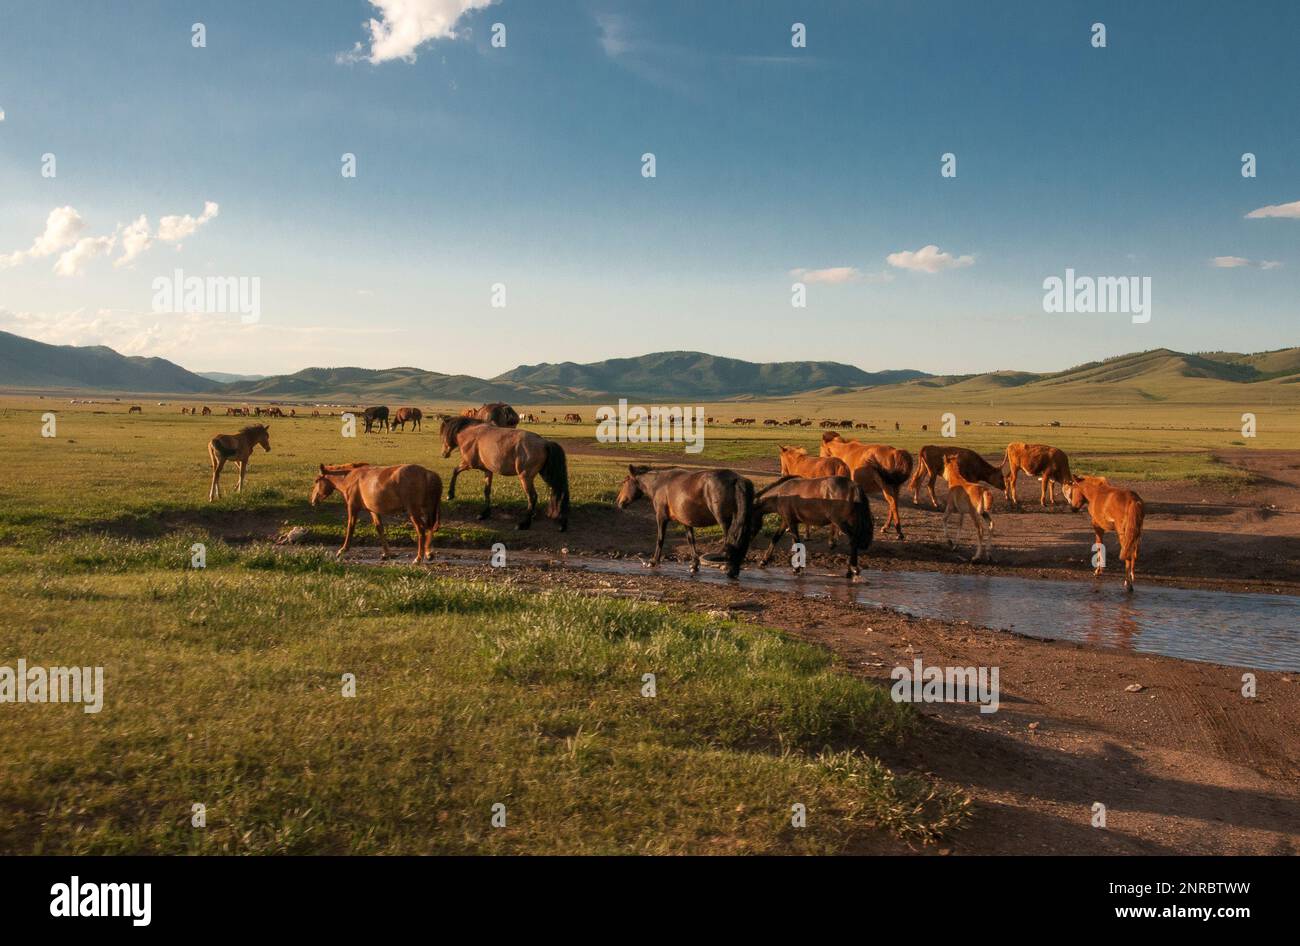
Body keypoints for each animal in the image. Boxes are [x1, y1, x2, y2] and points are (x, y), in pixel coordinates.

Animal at [312, 462, 444, 561]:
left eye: (317, 480)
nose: (313, 500)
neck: (351, 478)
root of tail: (427, 473)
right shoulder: (373, 511)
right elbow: (379, 528)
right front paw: (387, 554)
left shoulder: (353, 507)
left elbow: (350, 527)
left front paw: (343, 550)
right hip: (427, 510)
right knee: (429, 528)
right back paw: (428, 553)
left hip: (414, 511)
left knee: (421, 530)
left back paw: (418, 558)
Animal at [441, 415, 569, 527]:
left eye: (443, 434)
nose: (443, 454)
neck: (471, 433)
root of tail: (545, 443)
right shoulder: (487, 471)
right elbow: (486, 491)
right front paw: (484, 513)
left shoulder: (468, 464)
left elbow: (455, 471)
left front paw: (450, 494)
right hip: (546, 475)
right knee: (558, 492)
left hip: (525, 477)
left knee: (532, 497)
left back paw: (524, 523)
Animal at [616, 462, 759, 576]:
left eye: (625, 482)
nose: (619, 502)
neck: (659, 484)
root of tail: (737, 479)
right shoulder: (686, 521)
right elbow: (691, 541)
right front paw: (694, 565)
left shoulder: (661, 517)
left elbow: (660, 540)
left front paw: (653, 561)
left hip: (725, 521)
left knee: (730, 540)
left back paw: (728, 566)